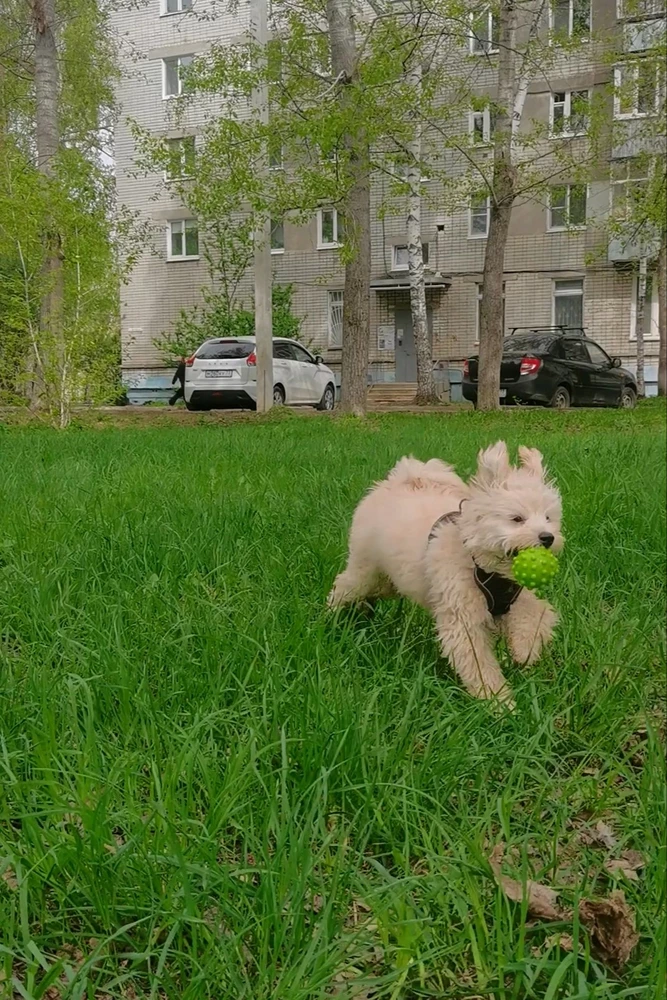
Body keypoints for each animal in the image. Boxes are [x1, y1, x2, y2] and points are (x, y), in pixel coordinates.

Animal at [328, 442, 564, 708]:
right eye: (517, 519)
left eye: (548, 517)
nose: (547, 537)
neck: (481, 565)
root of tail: (402, 478)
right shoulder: (463, 618)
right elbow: (479, 664)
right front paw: (498, 702)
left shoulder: (516, 599)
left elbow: (537, 615)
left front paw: (524, 650)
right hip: (365, 569)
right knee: (345, 585)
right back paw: (332, 615)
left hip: (388, 581)